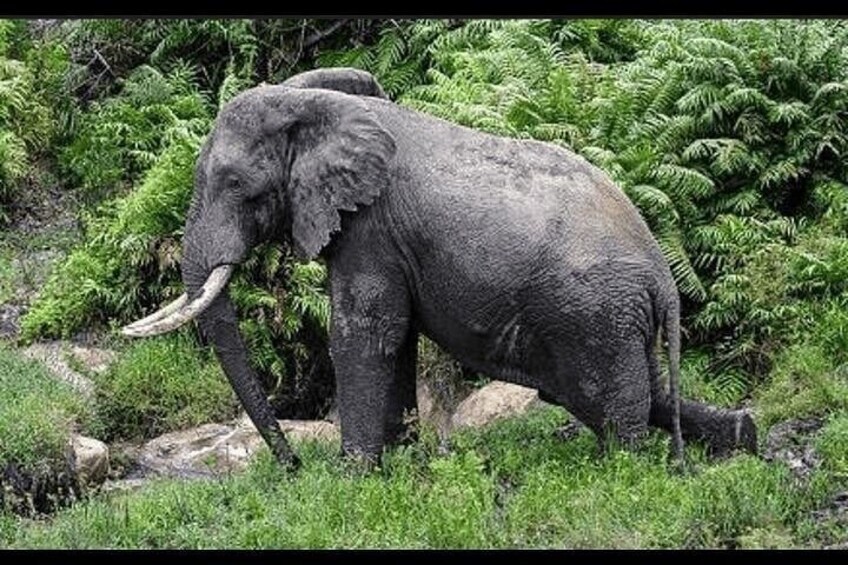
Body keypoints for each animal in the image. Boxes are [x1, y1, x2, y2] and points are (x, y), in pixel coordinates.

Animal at [123, 67, 757, 469]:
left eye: (234, 184)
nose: (293, 465)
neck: (322, 107)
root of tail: (664, 277)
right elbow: (393, 339)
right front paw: (401, 462)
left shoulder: (371, 228)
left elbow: (363, 334)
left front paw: (352, 477)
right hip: (612, 319)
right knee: (632, 389)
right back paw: (741, 438)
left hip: (593, 313)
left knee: (605, 397)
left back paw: (624, 470)